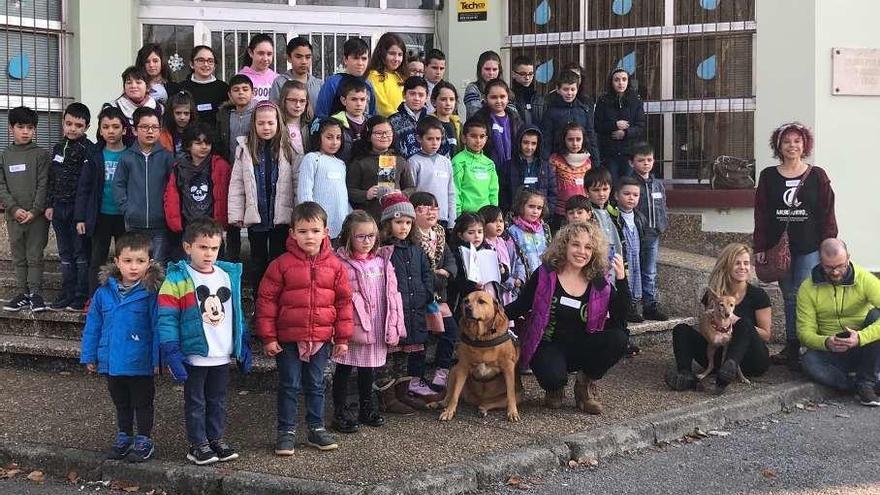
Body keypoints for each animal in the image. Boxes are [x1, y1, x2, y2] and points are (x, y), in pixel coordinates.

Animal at [432, 290, 524, 422]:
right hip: (454, 370)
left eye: (481, 301)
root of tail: (478, 400)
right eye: (466, 301)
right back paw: (439, 403)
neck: (481, 336)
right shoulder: (462, 367)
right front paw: (449, 411)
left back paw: (483, 408)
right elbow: (454, 394)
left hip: (519, 395)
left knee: (492, 402)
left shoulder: (508, 367)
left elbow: (510, 395)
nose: (467, 308)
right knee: (449, 395)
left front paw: (512, 412)